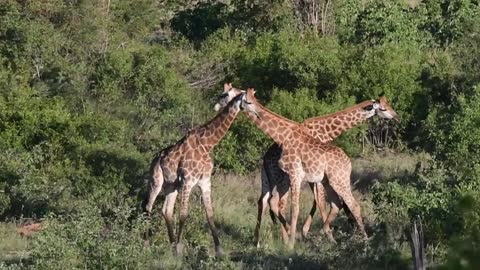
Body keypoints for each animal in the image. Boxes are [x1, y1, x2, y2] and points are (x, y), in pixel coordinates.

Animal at [142, 83, 244, 256]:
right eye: (224, 94)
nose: (216, 105)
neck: (207, 143)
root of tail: (155, 159)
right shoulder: (188, 180)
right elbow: (184, 214)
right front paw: (180, 249)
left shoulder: (205, 182)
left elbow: (210, 213)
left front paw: (219, 250)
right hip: (156, 181)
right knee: (148, 207)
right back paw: (148, 244)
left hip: (172, 186)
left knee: (166, 210)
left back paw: (171, 245)